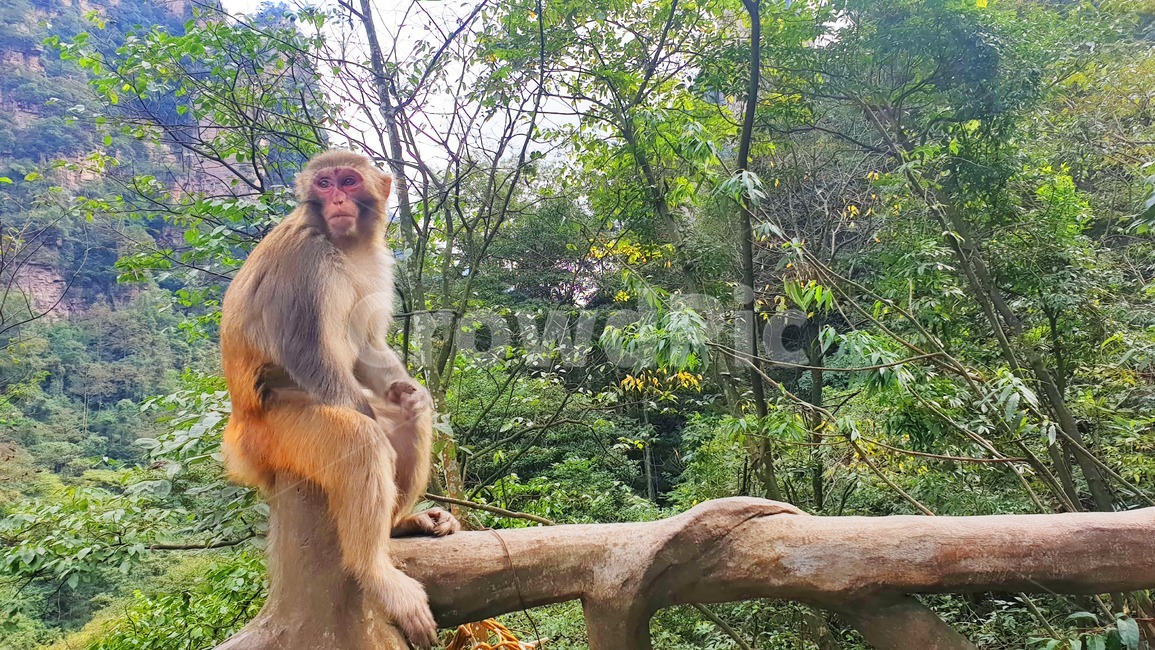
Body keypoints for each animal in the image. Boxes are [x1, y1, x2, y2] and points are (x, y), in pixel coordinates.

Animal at [219, 149, 459, 649]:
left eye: (348, 181)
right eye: (324, 184)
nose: (337, 201)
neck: (344, 245)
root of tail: (238, 433)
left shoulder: (377, 261)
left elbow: (368, 344)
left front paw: (413, 392)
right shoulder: (304, 260)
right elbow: (307, 353)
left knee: (408, 423)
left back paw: (399, 523)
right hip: (277, 434)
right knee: (361, 440)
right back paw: (375, 571)